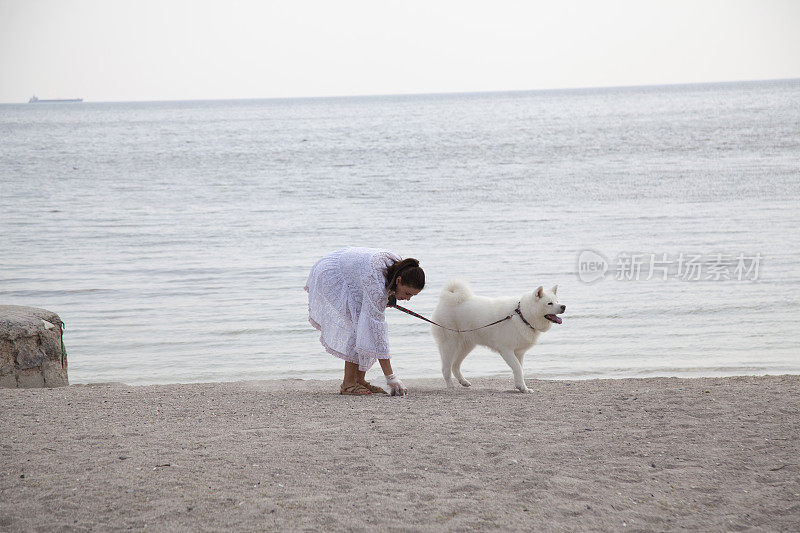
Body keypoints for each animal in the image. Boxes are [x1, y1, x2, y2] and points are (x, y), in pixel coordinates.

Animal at [432, 280, 564, 392]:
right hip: (449, 344)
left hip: (467, 345)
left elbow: (519, 369)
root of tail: (449, 299)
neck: (522, 315)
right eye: (549, 303)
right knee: (446, 368)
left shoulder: (518, 352)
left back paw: (463, 382)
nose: (563, 306)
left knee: (455, 365)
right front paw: (522, 387)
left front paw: (522, 387)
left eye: (557, 301)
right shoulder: (506, 350)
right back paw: (451, 387)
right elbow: (517, 368)